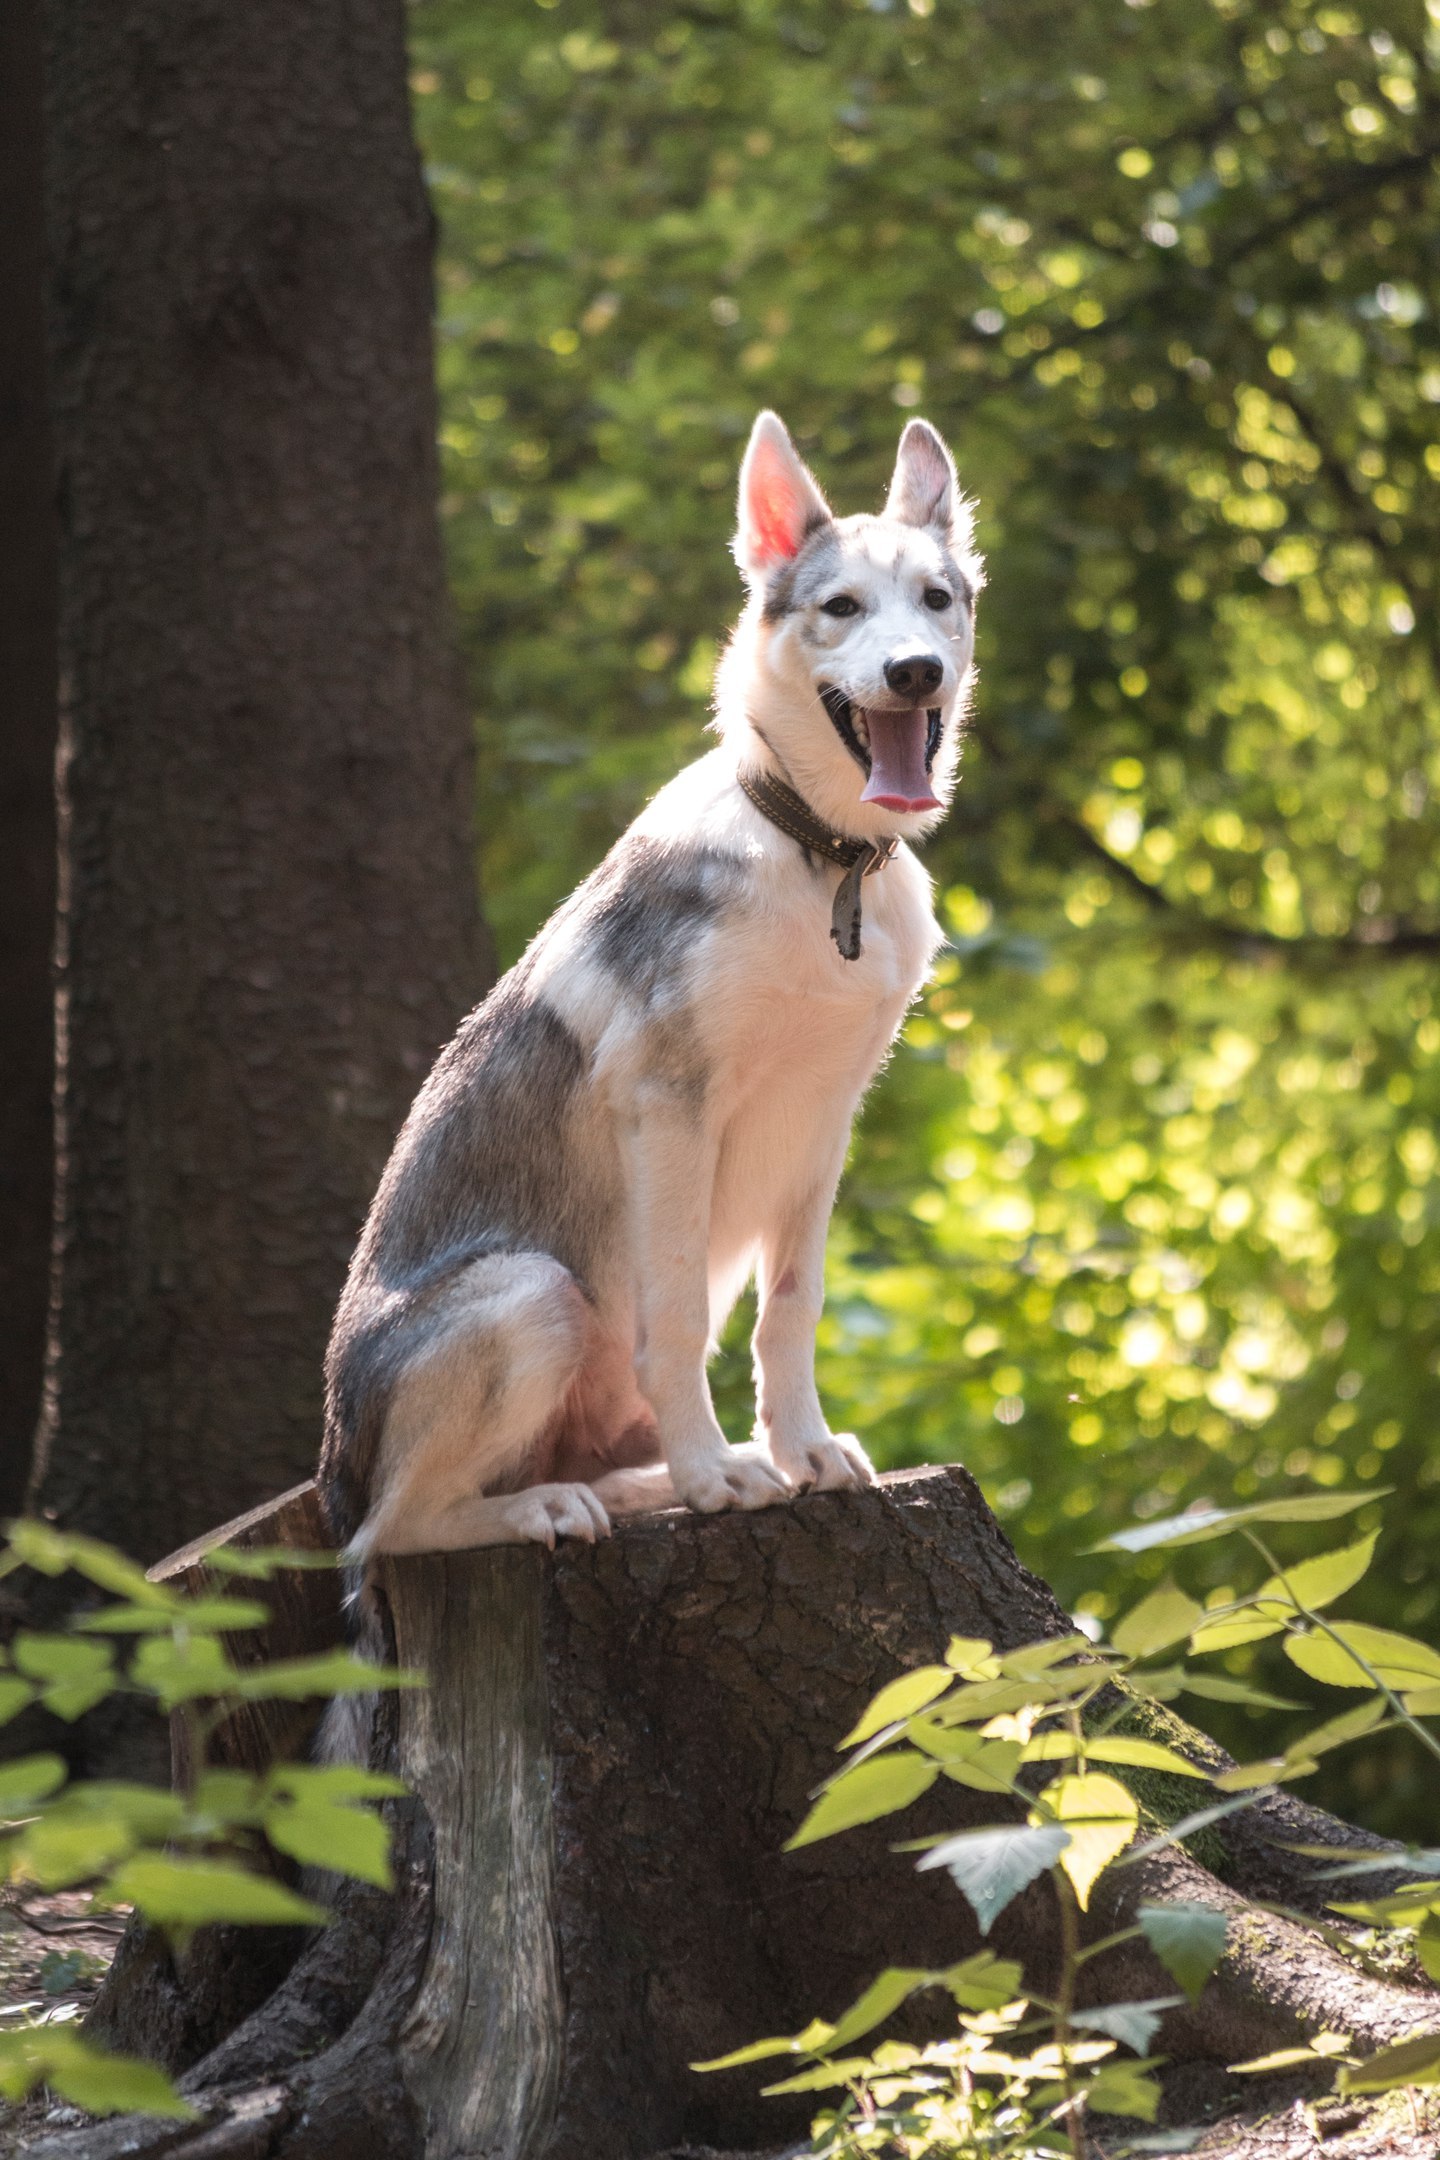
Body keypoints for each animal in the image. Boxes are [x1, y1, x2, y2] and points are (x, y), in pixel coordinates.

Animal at [321, 406, 984, 1563]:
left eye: (937, 602)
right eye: (841, 608)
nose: (913, 673)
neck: (821, 860)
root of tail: (329, 1483)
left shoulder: (826, 1119)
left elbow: (791, 1308)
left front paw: (800, 1452)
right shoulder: (670, 1108)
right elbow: (672, 1316)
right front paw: (713, 1477)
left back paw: (647, 1483)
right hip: (536, 1290)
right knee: (399, 1531)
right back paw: (560, 1503)